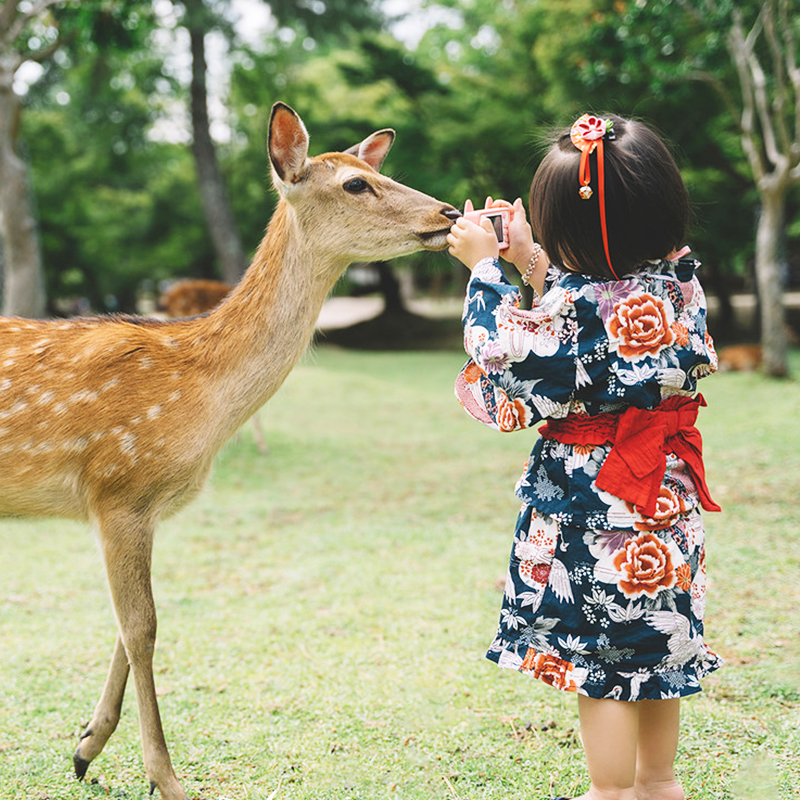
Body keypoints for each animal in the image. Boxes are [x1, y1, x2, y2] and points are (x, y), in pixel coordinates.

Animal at [0, 103, 460, 796]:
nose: (449, 212)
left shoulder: (142, 508)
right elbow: (143, 627)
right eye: (356, 184)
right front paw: (165, 777)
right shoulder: (118, 485)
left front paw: (85, 746)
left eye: (378, 171)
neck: (200, 395)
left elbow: (124, 624)